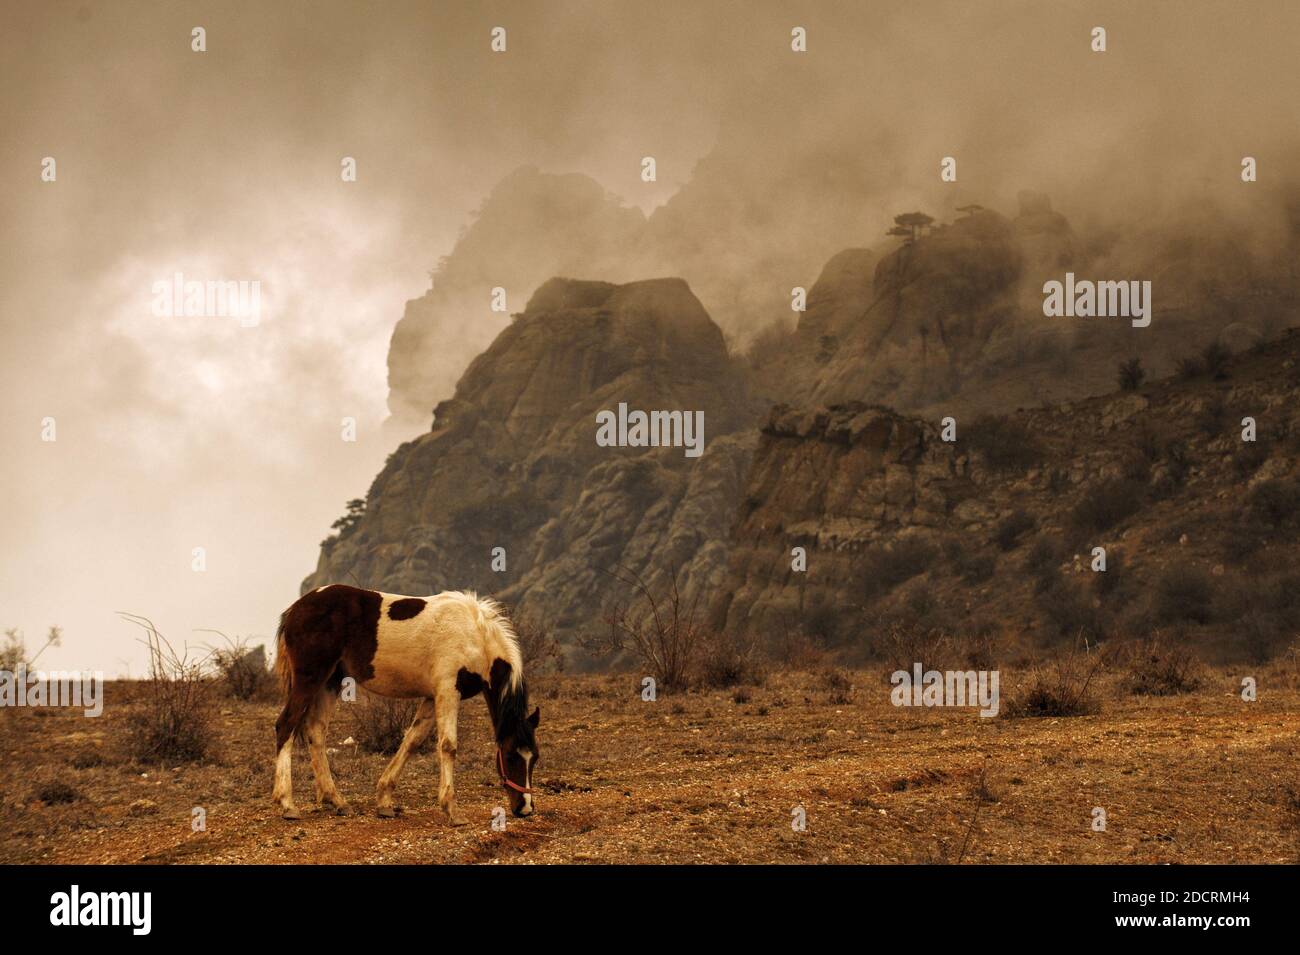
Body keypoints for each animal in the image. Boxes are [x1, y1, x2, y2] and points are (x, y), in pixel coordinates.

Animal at [271, 587, 540, 826]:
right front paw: (452, 810)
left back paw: (337, 801)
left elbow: (412, 741)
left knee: (316, 732)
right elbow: (448, 746)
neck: (474, 634)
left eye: (534, 757)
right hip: (311, 678)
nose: (525, 808)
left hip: (330, 682)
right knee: (286, 726)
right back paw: (287, 804)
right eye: (510, 756)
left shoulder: (432, 697)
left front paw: (384, 800)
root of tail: (296, 609)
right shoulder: (447, 691)